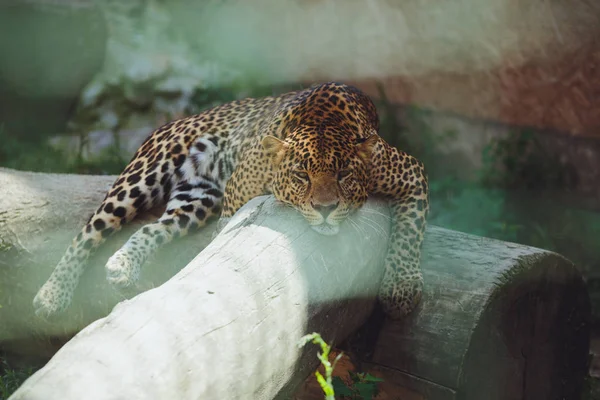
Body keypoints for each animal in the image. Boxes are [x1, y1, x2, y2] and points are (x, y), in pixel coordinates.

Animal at [32, 83, 428, 320]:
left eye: (345, 174)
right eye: (301, 175)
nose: (326, 209)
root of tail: (184, 118)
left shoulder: (411, 173)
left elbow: (411, 233)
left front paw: (401, 290)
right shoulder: (236, 196)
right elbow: (226, 236)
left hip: (196, 199)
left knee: (153, 228)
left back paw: (124, 266)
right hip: (143, 175)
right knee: (88, 232)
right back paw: (52, 295)